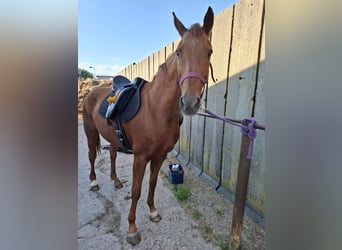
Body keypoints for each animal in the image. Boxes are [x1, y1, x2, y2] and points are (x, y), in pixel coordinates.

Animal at [82, 6, 214, 245]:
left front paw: (153, 212)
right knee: (91, 156)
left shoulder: (160, 155)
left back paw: (115, 180)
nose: (189, 102)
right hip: (90, 132)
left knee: (112, 155)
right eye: (179, 52)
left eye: (209, 52)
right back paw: (94, 183)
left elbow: (151, 183)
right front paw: (132, 229)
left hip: (113, 137)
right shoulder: (141, 157)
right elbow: (136, 190)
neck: (156, 110)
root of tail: (93, 91)